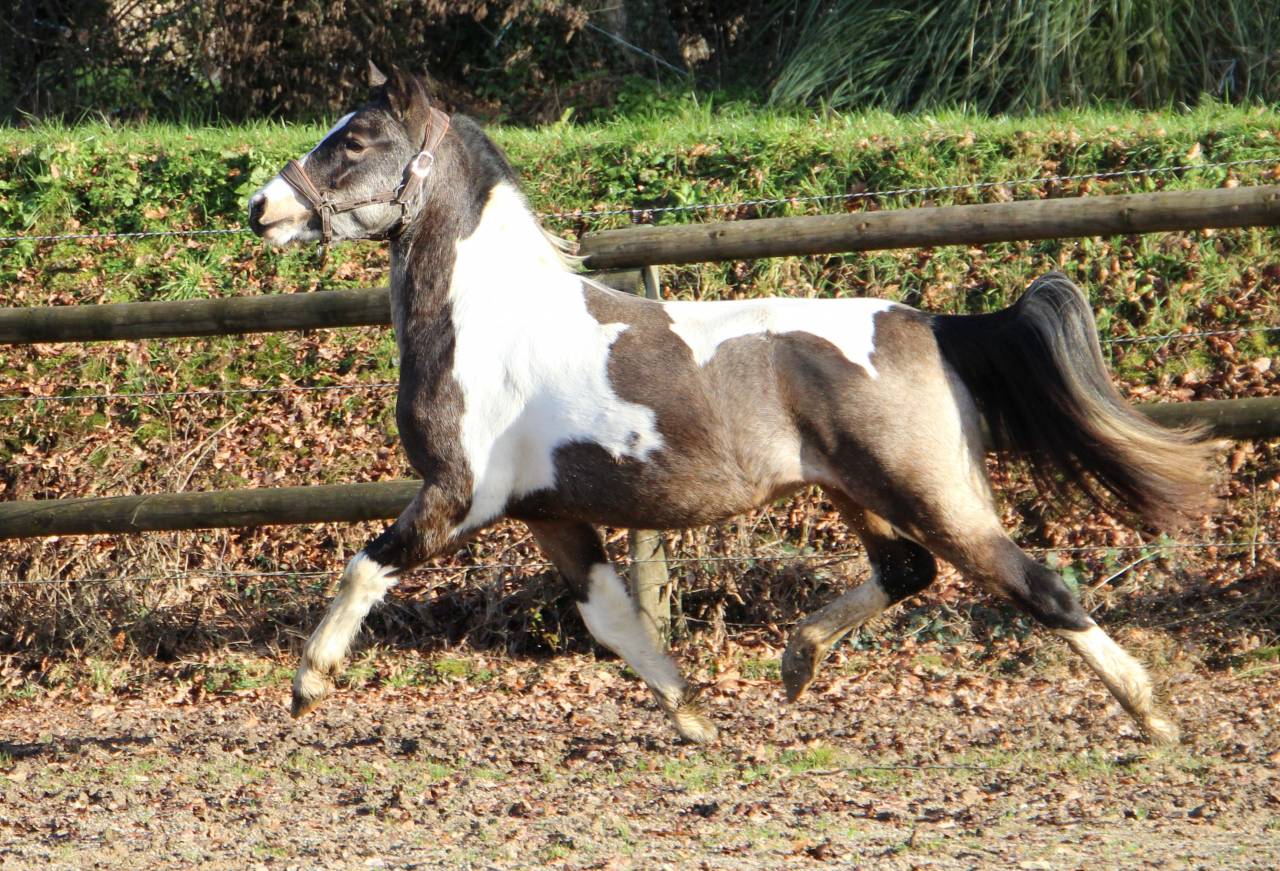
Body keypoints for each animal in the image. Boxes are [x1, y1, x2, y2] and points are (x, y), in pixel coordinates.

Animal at [247, 63, 1214, 745]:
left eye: (357, 138)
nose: (263, 207)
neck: (488, 321)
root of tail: (931, 324)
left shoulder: (458, 496)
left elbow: (364, 565)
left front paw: (308, 682)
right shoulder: (549, 514)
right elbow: (614, 620)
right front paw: (695, 714)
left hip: (933, 493)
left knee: (1039, 585)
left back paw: (1155, 715)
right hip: (856, 492)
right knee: (909, 571)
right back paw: (796, 658)